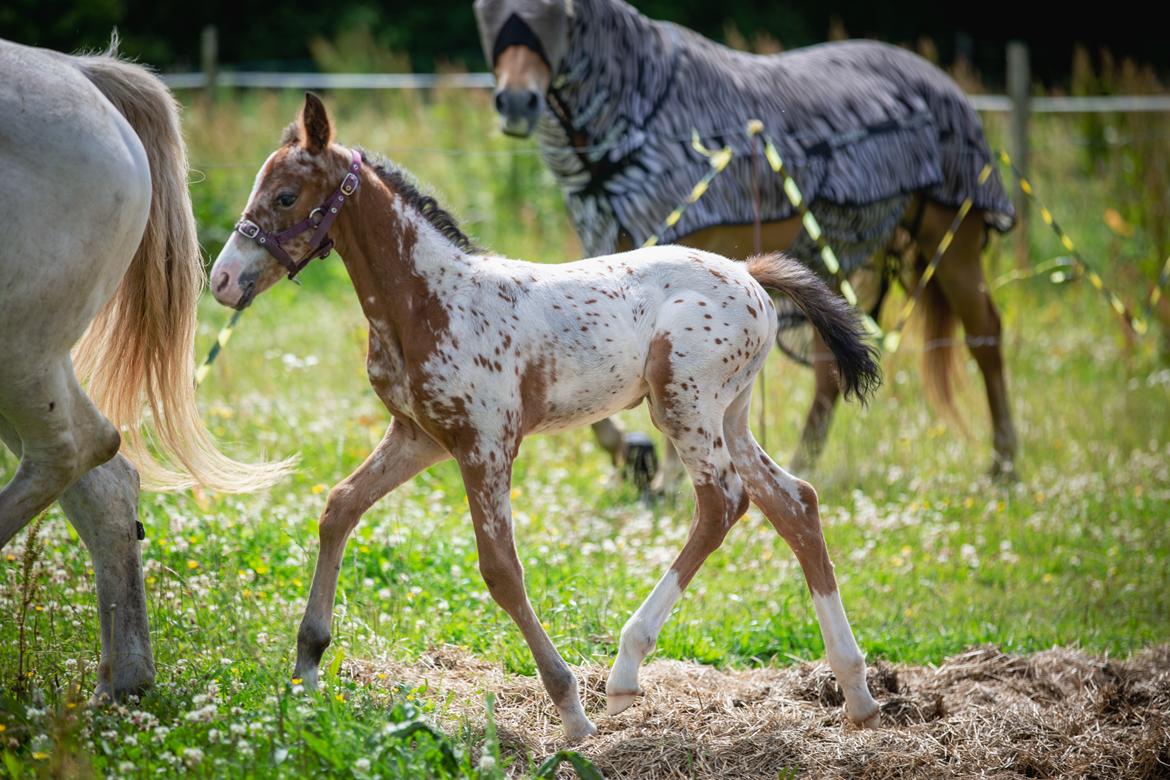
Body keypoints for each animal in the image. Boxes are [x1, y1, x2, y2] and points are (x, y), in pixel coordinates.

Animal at [212, 94, 884, 743]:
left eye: (285, 195)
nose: (221, 279)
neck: (426, 300)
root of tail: (749, 272)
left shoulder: (485, 444)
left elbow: (500, 570)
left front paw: (570, 710)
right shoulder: (419, 437)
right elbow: (339, 507)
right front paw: (305, 668)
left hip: (683, 406)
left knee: (724, 502)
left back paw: (624, 673)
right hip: (731, 415)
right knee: (794, 502)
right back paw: (857, 691)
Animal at [475, 0, 1024, 481]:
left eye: (557, 13)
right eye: (488, 11)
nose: (516, 102)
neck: (650, 119)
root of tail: (944, 85)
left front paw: (664, 475)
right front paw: (632, 456)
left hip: (950, 241)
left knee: (985, 335)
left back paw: (1004, 466)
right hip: (832, 261)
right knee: (830, 366)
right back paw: (804, 463)